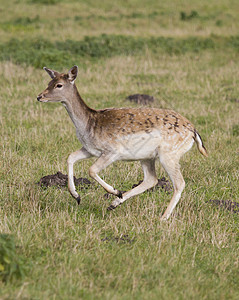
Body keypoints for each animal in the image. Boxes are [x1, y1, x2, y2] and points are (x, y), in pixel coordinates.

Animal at [37, 66, 207, 220]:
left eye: (59, 85)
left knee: (179, 183)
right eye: (49, 82)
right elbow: (70, 157)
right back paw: (114, 204)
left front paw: (115, 191)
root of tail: (193, 131)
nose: (39, 96)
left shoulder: (113, 151)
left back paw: (162, 217)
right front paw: (76, 196)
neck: (88, 125)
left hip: (169, 153)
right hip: (147, 156)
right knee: (151, 179)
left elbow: (91, 170)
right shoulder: (90, 149)